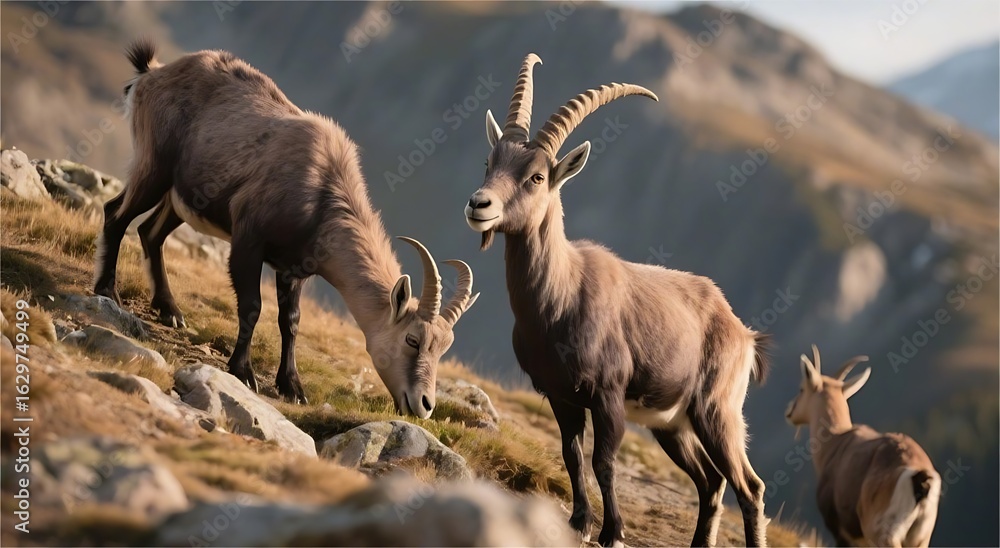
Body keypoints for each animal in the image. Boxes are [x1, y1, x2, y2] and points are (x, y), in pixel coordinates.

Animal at [94, 40, 478, 416]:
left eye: (443, 347)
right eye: (413, 339)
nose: (424, 405)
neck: (323, 191)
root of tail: (152, 73)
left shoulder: (295, 269)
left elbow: (290, 321)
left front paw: (292, 386)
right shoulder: (248, 242)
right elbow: (252, 306)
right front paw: (243, 371)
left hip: (182, 198)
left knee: (150, 233)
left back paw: (170, 311)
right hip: (153, 168)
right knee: (116, 214)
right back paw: (107, 290)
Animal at [463, 54, 770, 547]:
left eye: (536, 176)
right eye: (489, 161)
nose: (479, 204)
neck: (560, 301)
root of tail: (742, 332)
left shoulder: (607, 396)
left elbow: (603, 462)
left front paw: (612, 532)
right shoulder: (560, 396)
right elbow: (571, 454)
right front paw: (578, 521)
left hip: (717, 412)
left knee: (749, 486)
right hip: (672, 425)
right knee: (711, 481)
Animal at [786, 346, 940, 547]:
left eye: (801, 388)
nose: (789, 411)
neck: (837, 441)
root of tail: (919, 475)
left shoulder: (841, 534)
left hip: (885, 537)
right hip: (920, 540)